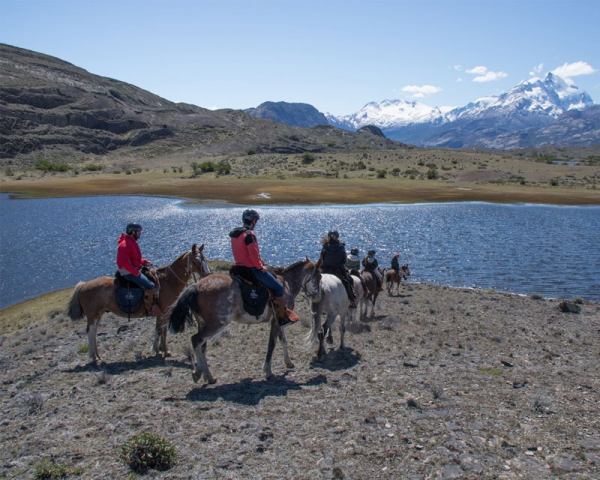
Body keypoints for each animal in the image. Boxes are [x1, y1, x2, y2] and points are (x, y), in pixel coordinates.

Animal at [66, 244, 209, 364]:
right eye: (197, 260)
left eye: (205, 258)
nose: (207, 274)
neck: (168, 282)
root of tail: (83, 285)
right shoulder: (162, 311)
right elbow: (160, 330)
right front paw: (159, 351)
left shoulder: (164, 312)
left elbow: (162, 330)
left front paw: (163, 350)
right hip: (92, 315)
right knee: (90, 332)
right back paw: (94, 358)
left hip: (99, 314)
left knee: (94, 332)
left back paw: (98, 356)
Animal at [166, 258, 318, 382]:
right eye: (318, 275)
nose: (317, 295)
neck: (287, 284)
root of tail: (197, 286)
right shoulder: (276, 321)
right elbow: (272, 345)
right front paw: (268, 371)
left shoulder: (279, 321)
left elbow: (283, 341)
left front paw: (288, 362)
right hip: (216, 324)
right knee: (196, 340)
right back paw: (198, 372)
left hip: (203, 323)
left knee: (202, 346)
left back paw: (208, 376)